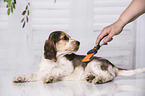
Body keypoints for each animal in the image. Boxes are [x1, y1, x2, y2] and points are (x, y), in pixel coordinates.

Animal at [13, 31, 145, 84]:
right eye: (64, 38)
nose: (79, 42)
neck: (56, 59)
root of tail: (113, 65)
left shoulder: (66, 68)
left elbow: (55, 70)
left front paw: (49, 77)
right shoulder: (41, 71)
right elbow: (31, 74)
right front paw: (19, 78)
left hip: (94, 63)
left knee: (110, 75)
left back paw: (98, 79)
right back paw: (89, 77)